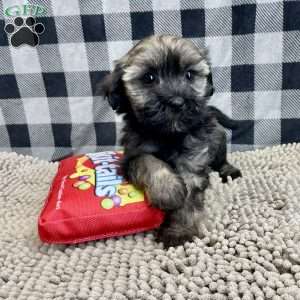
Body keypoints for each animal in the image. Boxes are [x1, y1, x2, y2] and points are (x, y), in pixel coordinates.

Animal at [101, 34, 241, 246]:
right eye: (149, 78)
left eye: (189, 75)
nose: (177, 102)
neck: (168, 135)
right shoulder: (132, 155)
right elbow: (150, 162)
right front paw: (168, 191)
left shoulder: (193, 159)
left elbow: (190, 197)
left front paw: (179, 230)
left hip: (217, 139)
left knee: (221, 159)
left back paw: (229, 170)